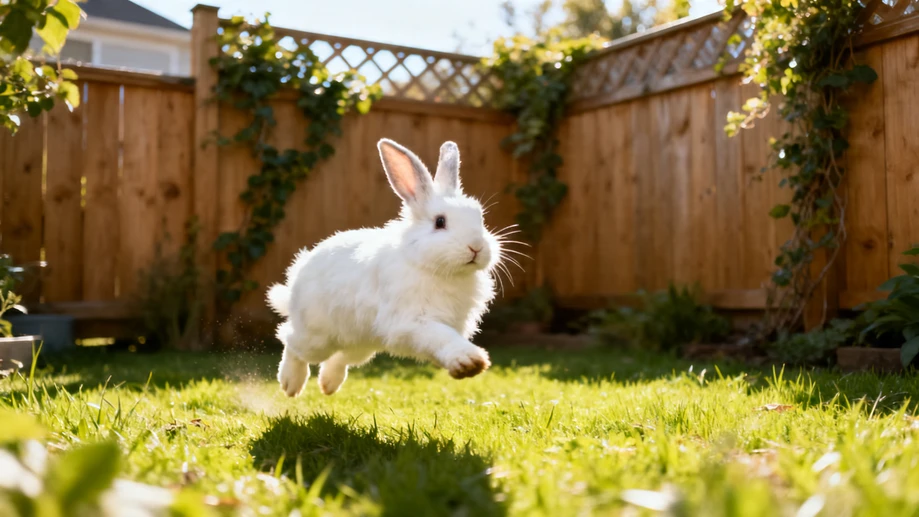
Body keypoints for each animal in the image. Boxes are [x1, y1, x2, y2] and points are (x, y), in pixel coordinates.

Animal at [266, 138, 508, 397]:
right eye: (440, 222)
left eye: (479, 217)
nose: (476, 247)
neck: (433, 268)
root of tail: (299, 274)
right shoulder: (413, 322)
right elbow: (441, 336)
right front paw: (469, 360)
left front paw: (463, 367)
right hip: (316, 336)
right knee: (290, 341)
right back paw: (291, 383)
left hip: (360, 343)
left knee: (339, 359)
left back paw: (329, 385)